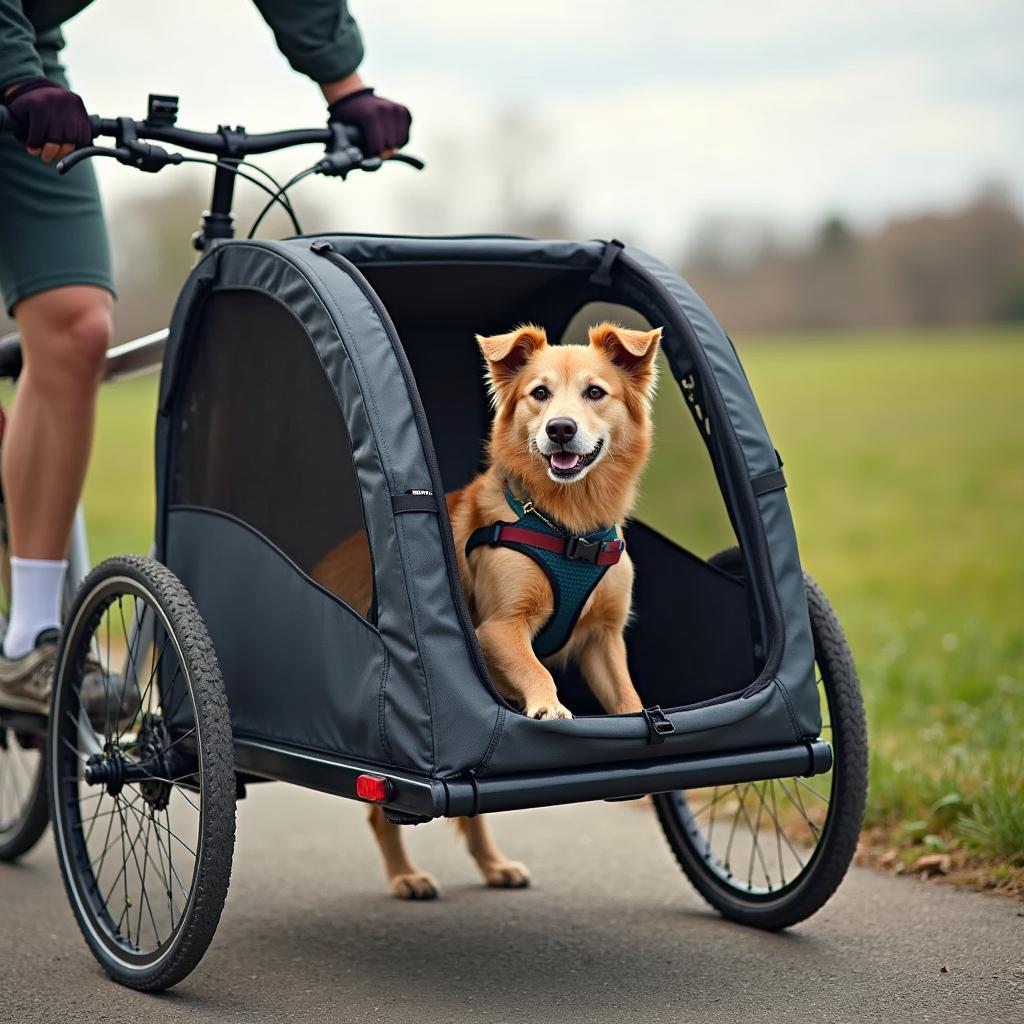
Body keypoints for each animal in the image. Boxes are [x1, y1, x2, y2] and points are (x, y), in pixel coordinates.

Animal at [313, 319, 663, 897]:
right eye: (538, 393)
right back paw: (404, 875)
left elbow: (627, 695)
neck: (568, 526)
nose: (560, 429)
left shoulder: (603, 640)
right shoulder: (498, 630)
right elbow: (538, 670)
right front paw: (550, 707)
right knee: (380, 810)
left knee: (469, 807)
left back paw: (493, 865)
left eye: (595, 392)